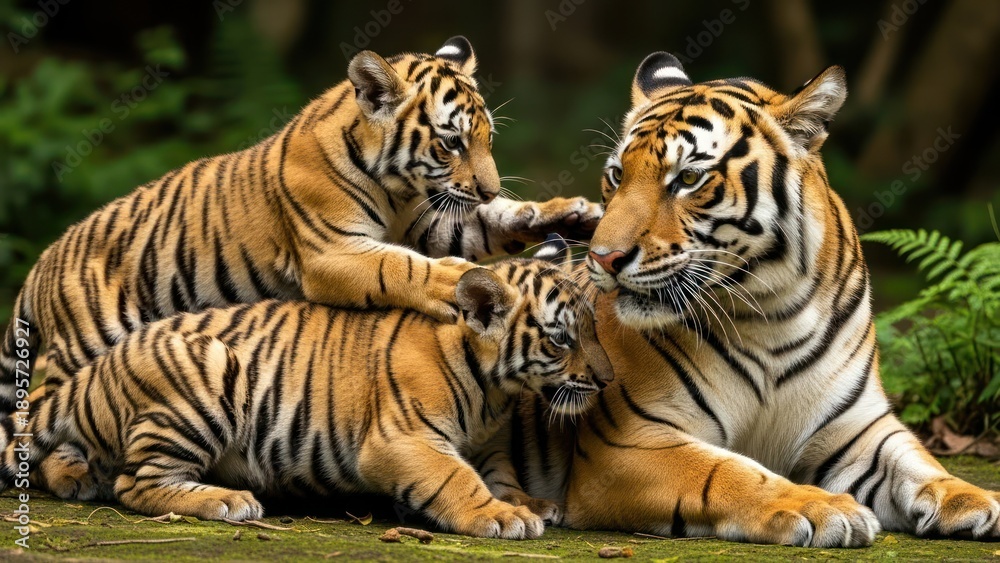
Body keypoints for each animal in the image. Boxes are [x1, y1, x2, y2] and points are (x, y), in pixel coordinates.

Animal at [0, 36, 602, 499]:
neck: (399, 189)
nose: (489, 187)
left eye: (487, 139)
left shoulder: (434, 220)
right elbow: (405, 269)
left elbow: (492, 224)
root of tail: (38, 267)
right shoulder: (335, 251)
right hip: (85, 344)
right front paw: (465, 281)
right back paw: (69, 475)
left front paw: (571, 214)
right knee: (49, 410)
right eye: (451, 141)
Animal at [0, 236, 613, 539]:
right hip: (210, 371)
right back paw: (227, 501)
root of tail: (99, 367)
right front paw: (503, 517)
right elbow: (456, 480)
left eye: (594, 327)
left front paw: (530, 502)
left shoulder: (487, 444)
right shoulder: (403, 439)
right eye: (562, 339)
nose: (607, 380)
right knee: (137, 483)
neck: (495, 391)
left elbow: (500, 475)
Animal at [494, 53, 1000, 547]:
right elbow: (727, 471)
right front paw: (818, 506)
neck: (772, 312)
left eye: (688, 178)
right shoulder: (630, 441)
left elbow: (917, 461)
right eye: (617, 175)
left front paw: (974, 497)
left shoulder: (857, 428)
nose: (603, 256)